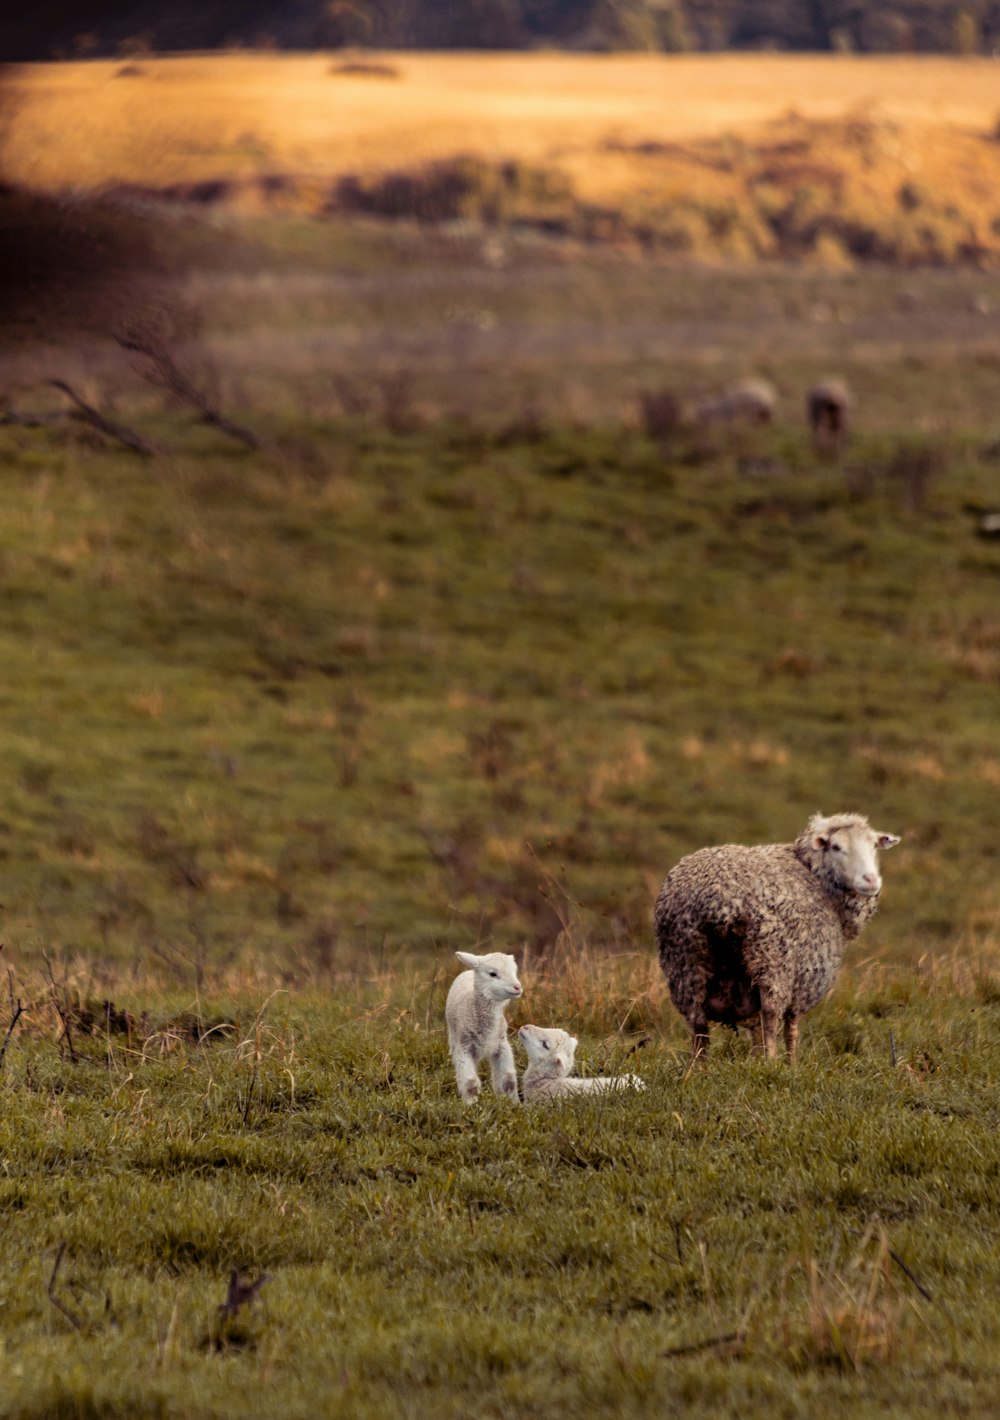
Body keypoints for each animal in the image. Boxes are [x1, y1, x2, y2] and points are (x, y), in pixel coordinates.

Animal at [446, 948, 522, 1101]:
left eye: (514, 971)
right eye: (492, 974)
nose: (517, 987)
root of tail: (469, 971)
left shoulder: (502, 1044)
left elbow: (509, 1080)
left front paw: (513, 1103)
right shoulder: (464, 1046)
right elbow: (470, 1083)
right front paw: (471, 1104)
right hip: (454, 1038)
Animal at [653, 812, 903, 1067]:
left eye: (874, 845)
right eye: (836, 847)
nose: (871, 880)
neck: (813, 872)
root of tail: (718, 899)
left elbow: (756, 1032)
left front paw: (756, 1059)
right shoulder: (802, 984)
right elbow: (791, 1030)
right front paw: (791, 1065)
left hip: (686, 964)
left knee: (698, 1025)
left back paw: (699, 1068)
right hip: (771, 963)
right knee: (771, 1017)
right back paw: (770, 1064)